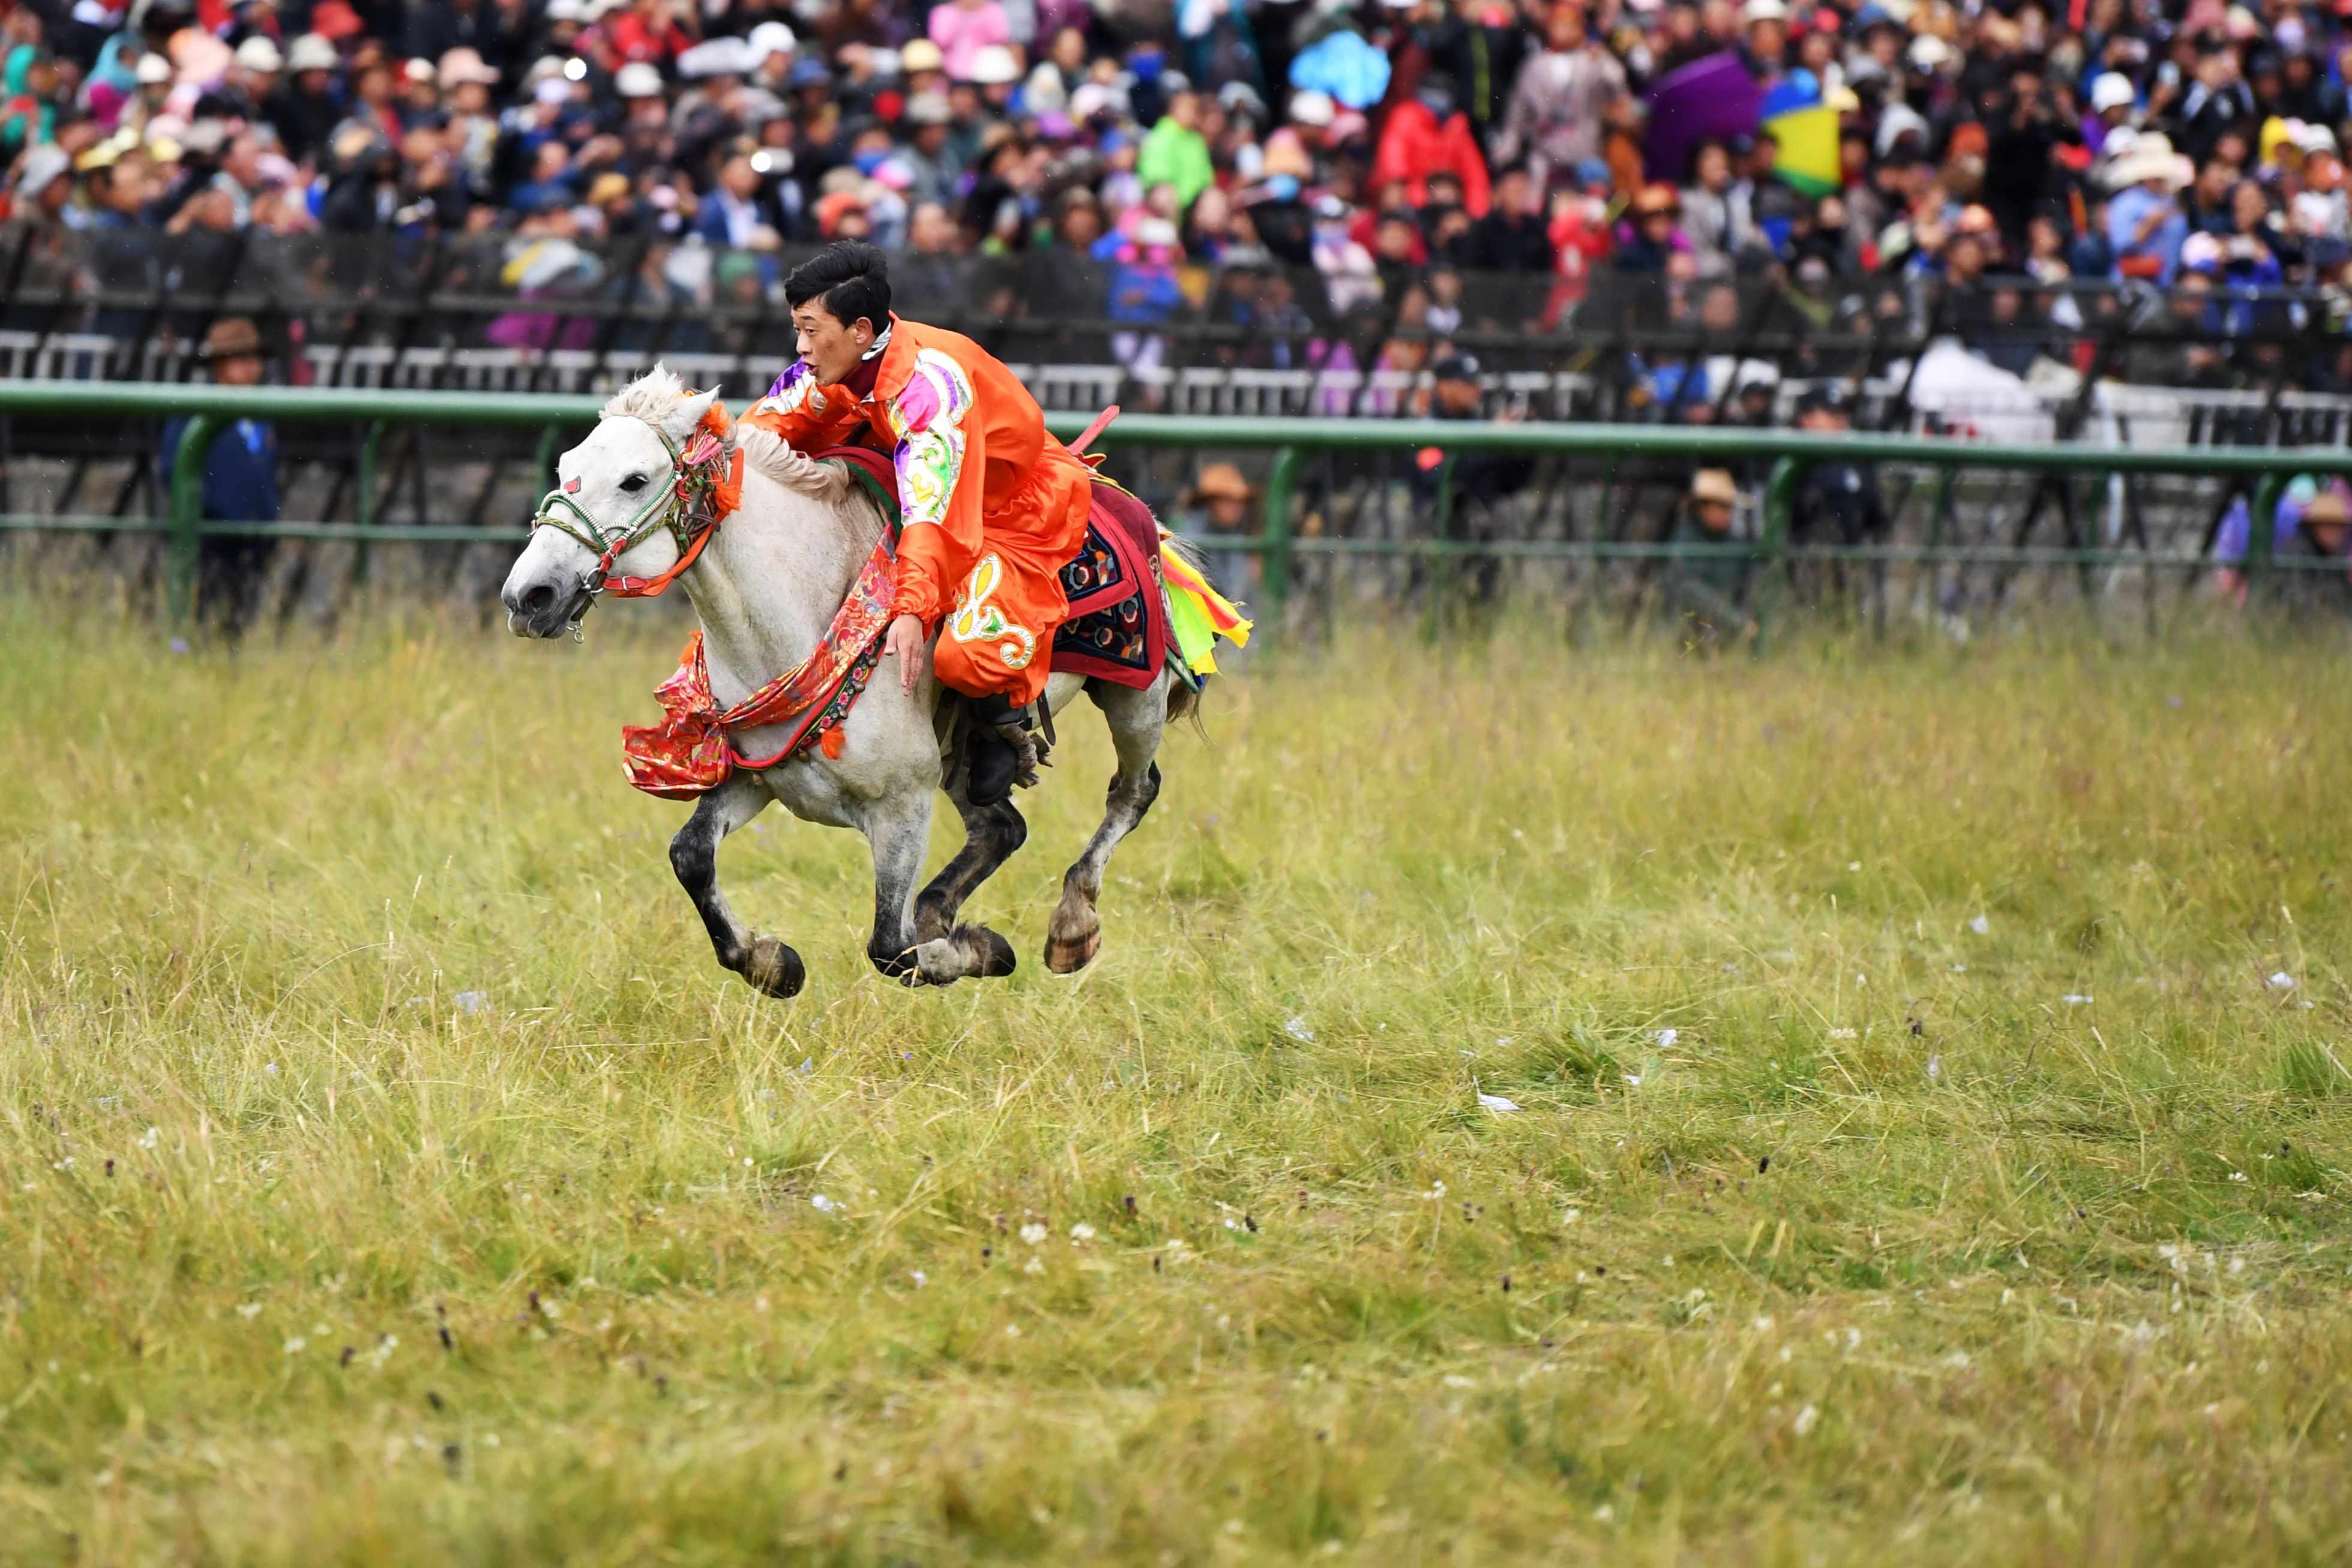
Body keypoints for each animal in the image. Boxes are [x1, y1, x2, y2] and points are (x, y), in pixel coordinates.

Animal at [498, 371, 1194, 992]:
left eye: (634, 479)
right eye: (564, 469)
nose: (528, 596)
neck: (796, 622)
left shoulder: (901, 807)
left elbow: (891, 947)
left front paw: (979, 949)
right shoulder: (759, 777)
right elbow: (690, 856)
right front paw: (772, 963)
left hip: (1136, 696)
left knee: (1134, 790)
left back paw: (1072, 926)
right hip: (958, 755)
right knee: (1001, 826)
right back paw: (944, 908)